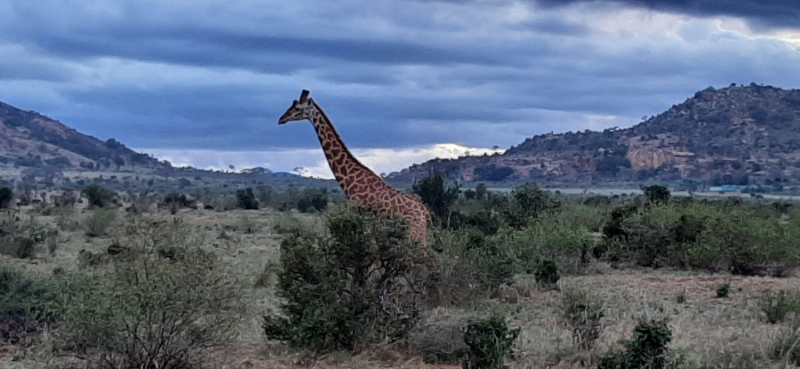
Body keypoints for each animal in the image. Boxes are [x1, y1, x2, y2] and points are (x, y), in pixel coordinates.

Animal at [280, 90, 432, 249]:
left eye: (297, 108)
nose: (281, 119)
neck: (350, 178)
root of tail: (426, 214)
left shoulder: (358, 213)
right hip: (419, 236)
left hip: (413, 235)